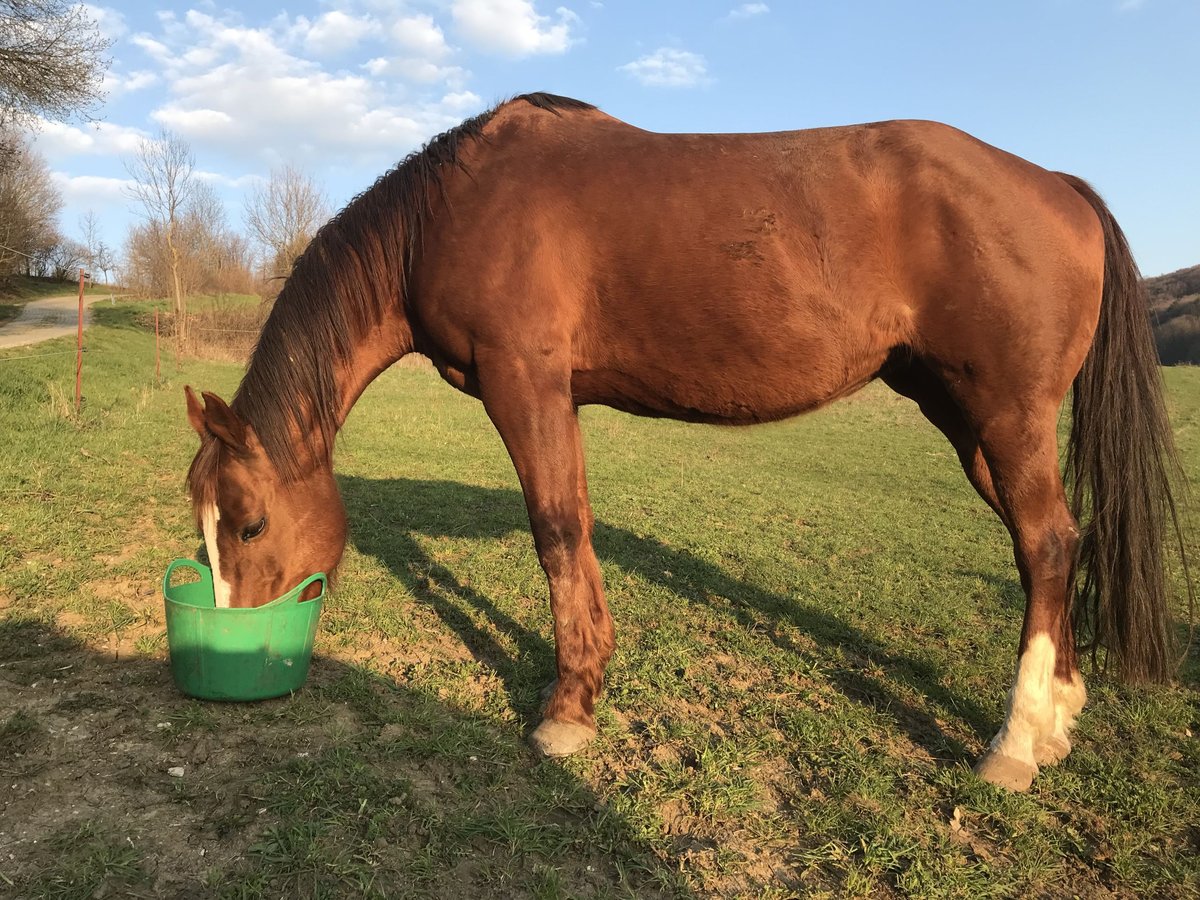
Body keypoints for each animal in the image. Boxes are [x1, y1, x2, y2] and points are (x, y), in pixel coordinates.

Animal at [182, 95, 1185, 792]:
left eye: (251, 525)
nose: (231, 638)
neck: (450, 210)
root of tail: (1059, 185)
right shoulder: (554, 398)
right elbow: (573, 528)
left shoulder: (524, 383)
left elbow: (557, 529)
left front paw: (566, 711)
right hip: (965, 418)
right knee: (1053, 544)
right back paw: (1056, 717)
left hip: (1004, 416)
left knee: (1046, 543)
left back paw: (1013, 743)